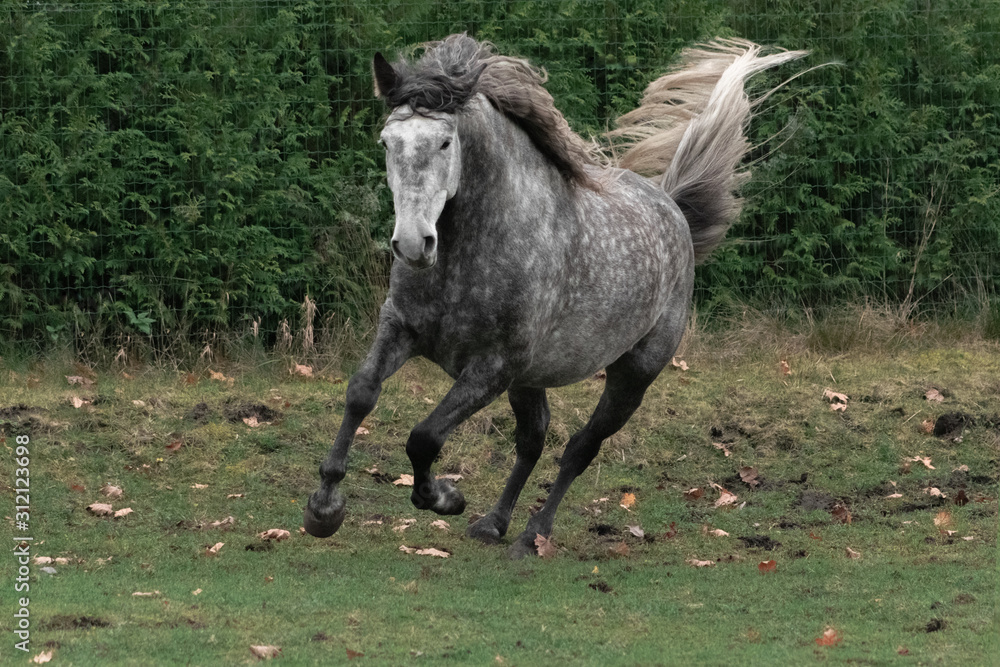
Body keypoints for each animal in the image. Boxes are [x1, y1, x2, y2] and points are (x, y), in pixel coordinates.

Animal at [304, 34, 808, 558]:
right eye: (387, 142)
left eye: (445, 142)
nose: (412, 244)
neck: (471, 253)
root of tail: (673, 210)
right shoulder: (401, 327)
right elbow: (361, 392)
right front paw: (324, 508)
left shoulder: (492, 369)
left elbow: (424, 437)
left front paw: (443, 497)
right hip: (531, 379)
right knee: (533, 441)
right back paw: (494, 524)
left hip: (632, 377)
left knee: (579, 449)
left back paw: (533, 534)